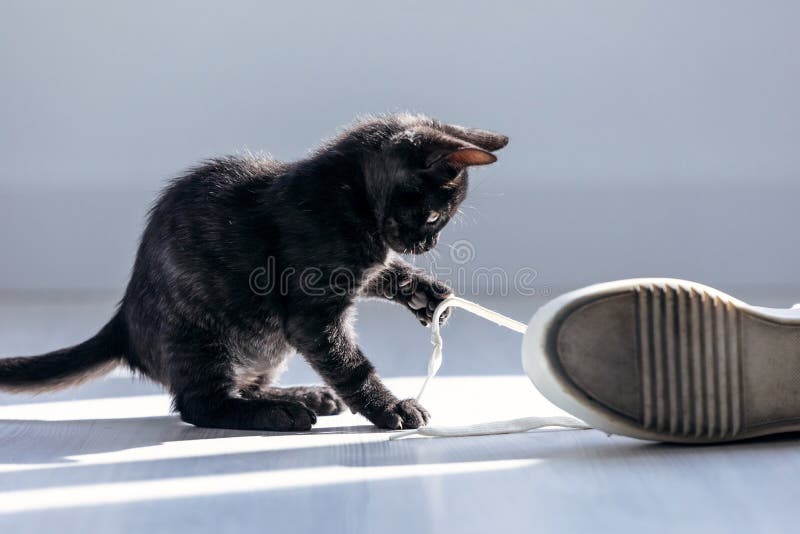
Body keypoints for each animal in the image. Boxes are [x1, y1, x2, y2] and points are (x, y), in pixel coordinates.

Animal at [0, 115, 510, 434]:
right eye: (434, 217)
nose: (428, 246)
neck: (350, 195)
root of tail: (123, 323)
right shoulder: (312, 315)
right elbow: (350, 365)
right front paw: (391, 408)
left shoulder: (367, 268)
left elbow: (387, 273)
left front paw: (427, 295)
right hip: (202, 335)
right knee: (199, 404)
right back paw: (280, 414)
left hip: (265, 346)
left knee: (247, 384)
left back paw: (302, 397)